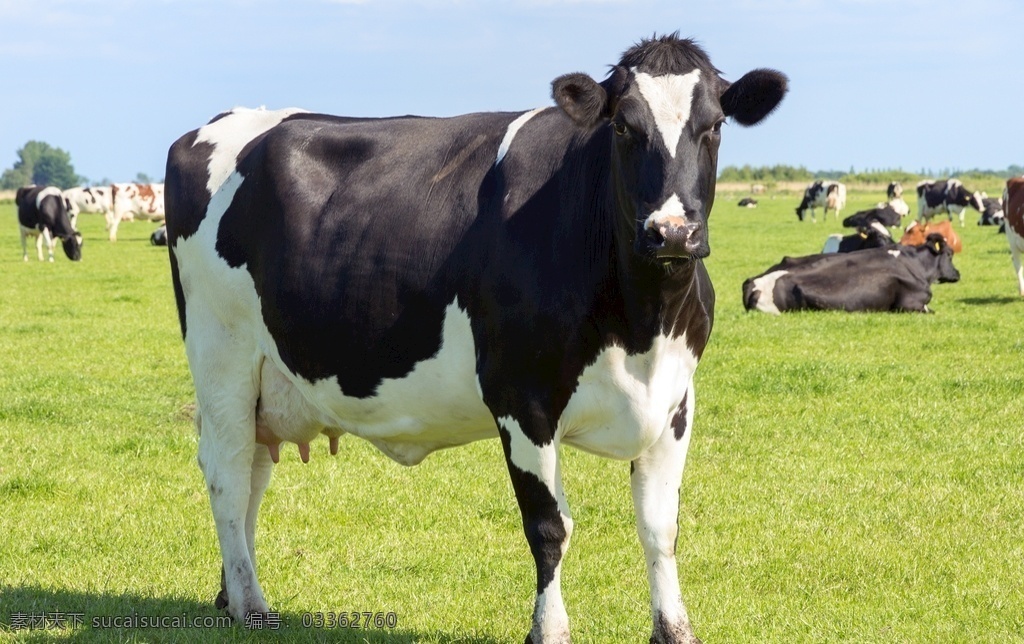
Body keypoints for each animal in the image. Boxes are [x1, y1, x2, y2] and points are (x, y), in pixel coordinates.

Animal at [163, 35, 786, 642]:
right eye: (623, 126)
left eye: (715, 125)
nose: (672, 232)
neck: (642, 327)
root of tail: (222, 122)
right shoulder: (521, 399)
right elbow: (549, 527)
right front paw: (549, 630)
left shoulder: (677, 400)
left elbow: (660, 526)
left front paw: (674, 629)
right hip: (221, 354)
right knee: (226, 473)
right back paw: (249, 603)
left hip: (265, 380)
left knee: (252, 471)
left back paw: (232, 593)